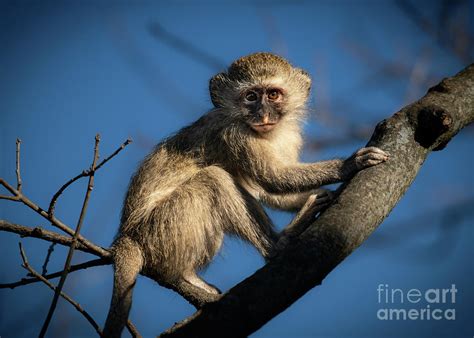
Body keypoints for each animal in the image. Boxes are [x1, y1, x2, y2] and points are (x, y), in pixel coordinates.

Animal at [103, 52, 388, 336]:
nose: (262, 114)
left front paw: (322, 193)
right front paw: (348, 165)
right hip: (162, 227)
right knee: (215, 179)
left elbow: (269, 192)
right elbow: (273, 178)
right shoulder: (235, 134)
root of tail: (126, 235)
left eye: (273, 94)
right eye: (251, 96)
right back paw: (278, 245)